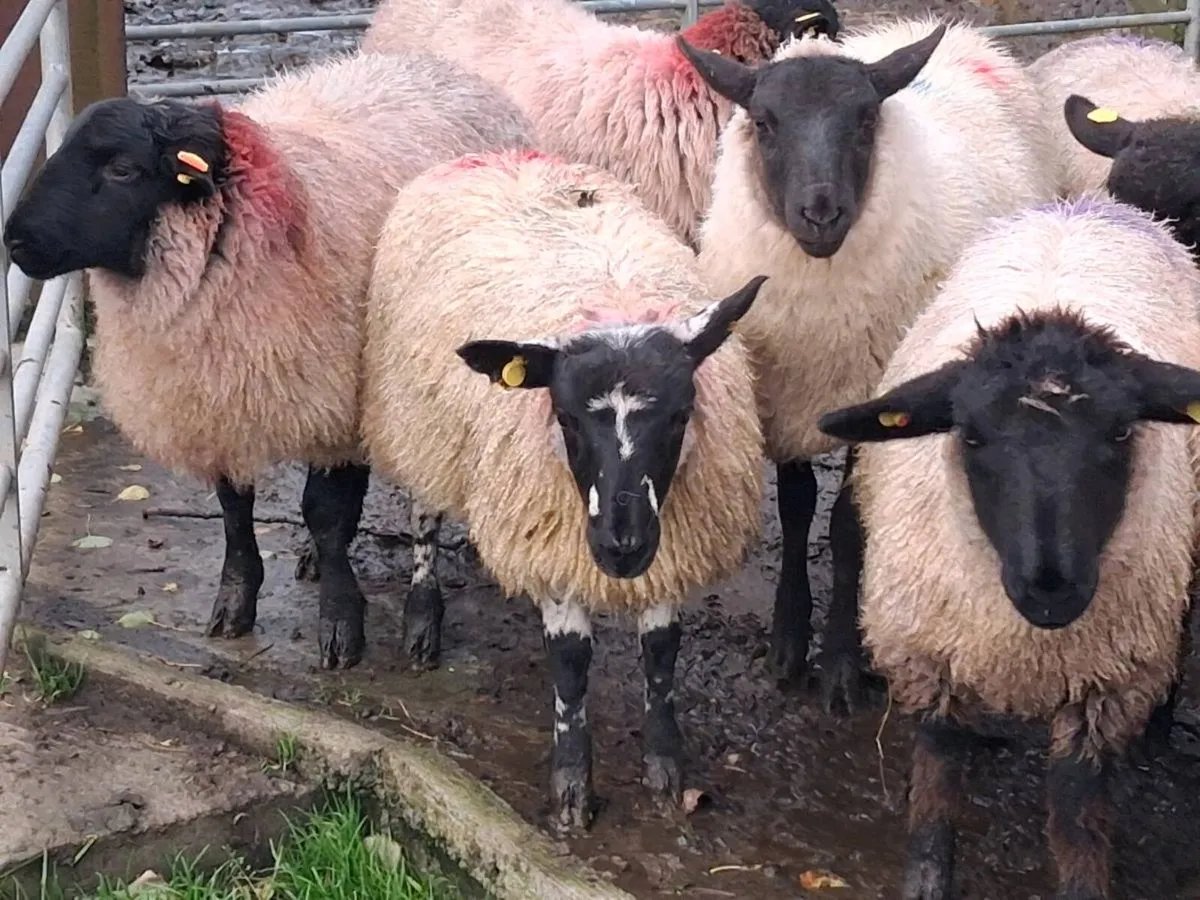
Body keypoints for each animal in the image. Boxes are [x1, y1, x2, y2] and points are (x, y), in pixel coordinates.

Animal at [2, 52, 534, 671]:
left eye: (123, 170)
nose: (15, 240)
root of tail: (444, 68)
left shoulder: (337, 402)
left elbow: (326, 515)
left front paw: (340, 624)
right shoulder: (219, 398)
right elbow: (235, 509)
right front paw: (236, 602)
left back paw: (421, 615)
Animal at [359, 148, 767, 832]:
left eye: (681, 415)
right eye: (568, 418)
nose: (621, 544)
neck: (612, 299)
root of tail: (498, 154)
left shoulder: (672, 544)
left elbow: (662, 652)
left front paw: (665, 770)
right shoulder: (551, 541)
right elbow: (571, 666)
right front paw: (572, 788)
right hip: (422, 417)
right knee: (424, 513)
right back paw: (422, 616)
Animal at [677, 16, 1058, 710]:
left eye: (865, 120)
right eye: (764, 122)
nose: (821, 212)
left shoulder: (872, 396)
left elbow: (847, 524)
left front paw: (841, 666)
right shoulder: (786, 394)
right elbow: (797, 507)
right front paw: (787, 643)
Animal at [816, 196, 1200, 900]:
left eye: (1122, 431)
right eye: (969, 436)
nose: (1051, 586)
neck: (1029, 640)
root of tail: (1086, 206)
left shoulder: (1103, 686)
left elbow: (1077, 816)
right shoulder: (931, 650)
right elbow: (938, 774)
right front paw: (927, 878)